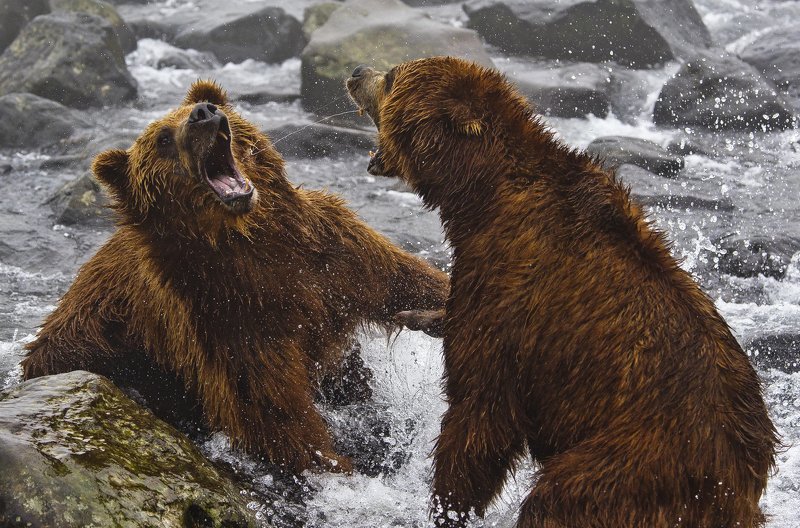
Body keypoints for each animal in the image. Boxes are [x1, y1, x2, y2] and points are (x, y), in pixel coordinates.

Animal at [22, 80, 449, 475]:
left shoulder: (330, 253)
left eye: (200, 104)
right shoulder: (223, 309)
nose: (204, 114)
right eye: (163, 138)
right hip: (96, 348)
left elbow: (404, 282)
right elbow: (270, 405)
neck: (246, 238)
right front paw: (332, 462)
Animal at [347, 57, 778, 527]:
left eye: (391, 78)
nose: (356, 74)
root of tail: (739, 485)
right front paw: (419, 315)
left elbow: (480, 412)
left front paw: (447, 506)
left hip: (634, 462)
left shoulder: (508, 289)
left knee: (556, 498)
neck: (480, 197)